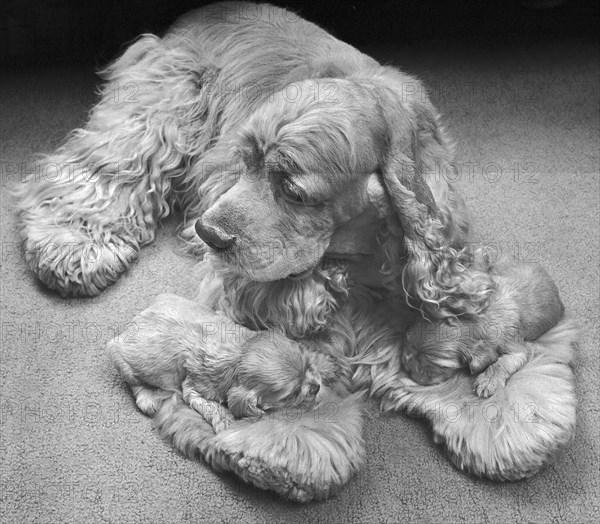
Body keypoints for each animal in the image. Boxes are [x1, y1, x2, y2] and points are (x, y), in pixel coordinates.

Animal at [109, 292, 346, 432]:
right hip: (120, 358)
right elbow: (211, 406)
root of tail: (133, 322)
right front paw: (226, 421)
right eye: (293, 394)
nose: (315, 387)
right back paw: (148, 397)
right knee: (136, 384)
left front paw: (325, 364)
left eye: (308, 367)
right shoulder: (193, 387)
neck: (240, 351)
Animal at [400, 255, 564, 398]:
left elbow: (501, 363)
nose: (406, 368)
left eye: (437, 366)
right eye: (408, 338)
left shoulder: (515, 349)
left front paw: (488, 381)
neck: (477, 320)